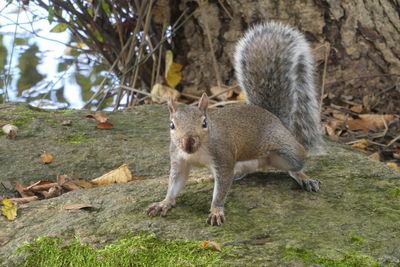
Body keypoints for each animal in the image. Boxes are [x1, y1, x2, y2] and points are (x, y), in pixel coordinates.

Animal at [145, 22, 324, 226]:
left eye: (204, 123)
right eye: (171, 125)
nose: (188, 143)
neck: (196, 153)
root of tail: (273, 117)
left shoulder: (223, 159)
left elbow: (221, 189)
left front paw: (216, 210)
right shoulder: (178, 160)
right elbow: (175, 184)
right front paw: (164, 202)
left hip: (287, 151)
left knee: (295, 166)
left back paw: (304, 178)